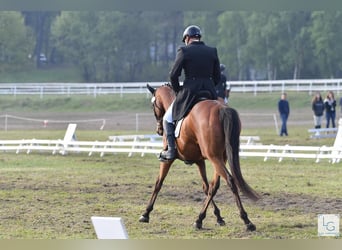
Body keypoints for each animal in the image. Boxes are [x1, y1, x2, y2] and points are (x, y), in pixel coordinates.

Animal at [139, 83, 260, 230]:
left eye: (153, 104)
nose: (159, 130)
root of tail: (221, 108)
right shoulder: (199, 161)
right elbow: (206, 187)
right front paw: (218, 217)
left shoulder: (168, 160)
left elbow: (158, 183)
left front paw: (146, 213)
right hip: (221, 157)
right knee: (215, 185)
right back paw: (200, 219)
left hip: (214, 157)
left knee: (230, 180)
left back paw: (246, 221)